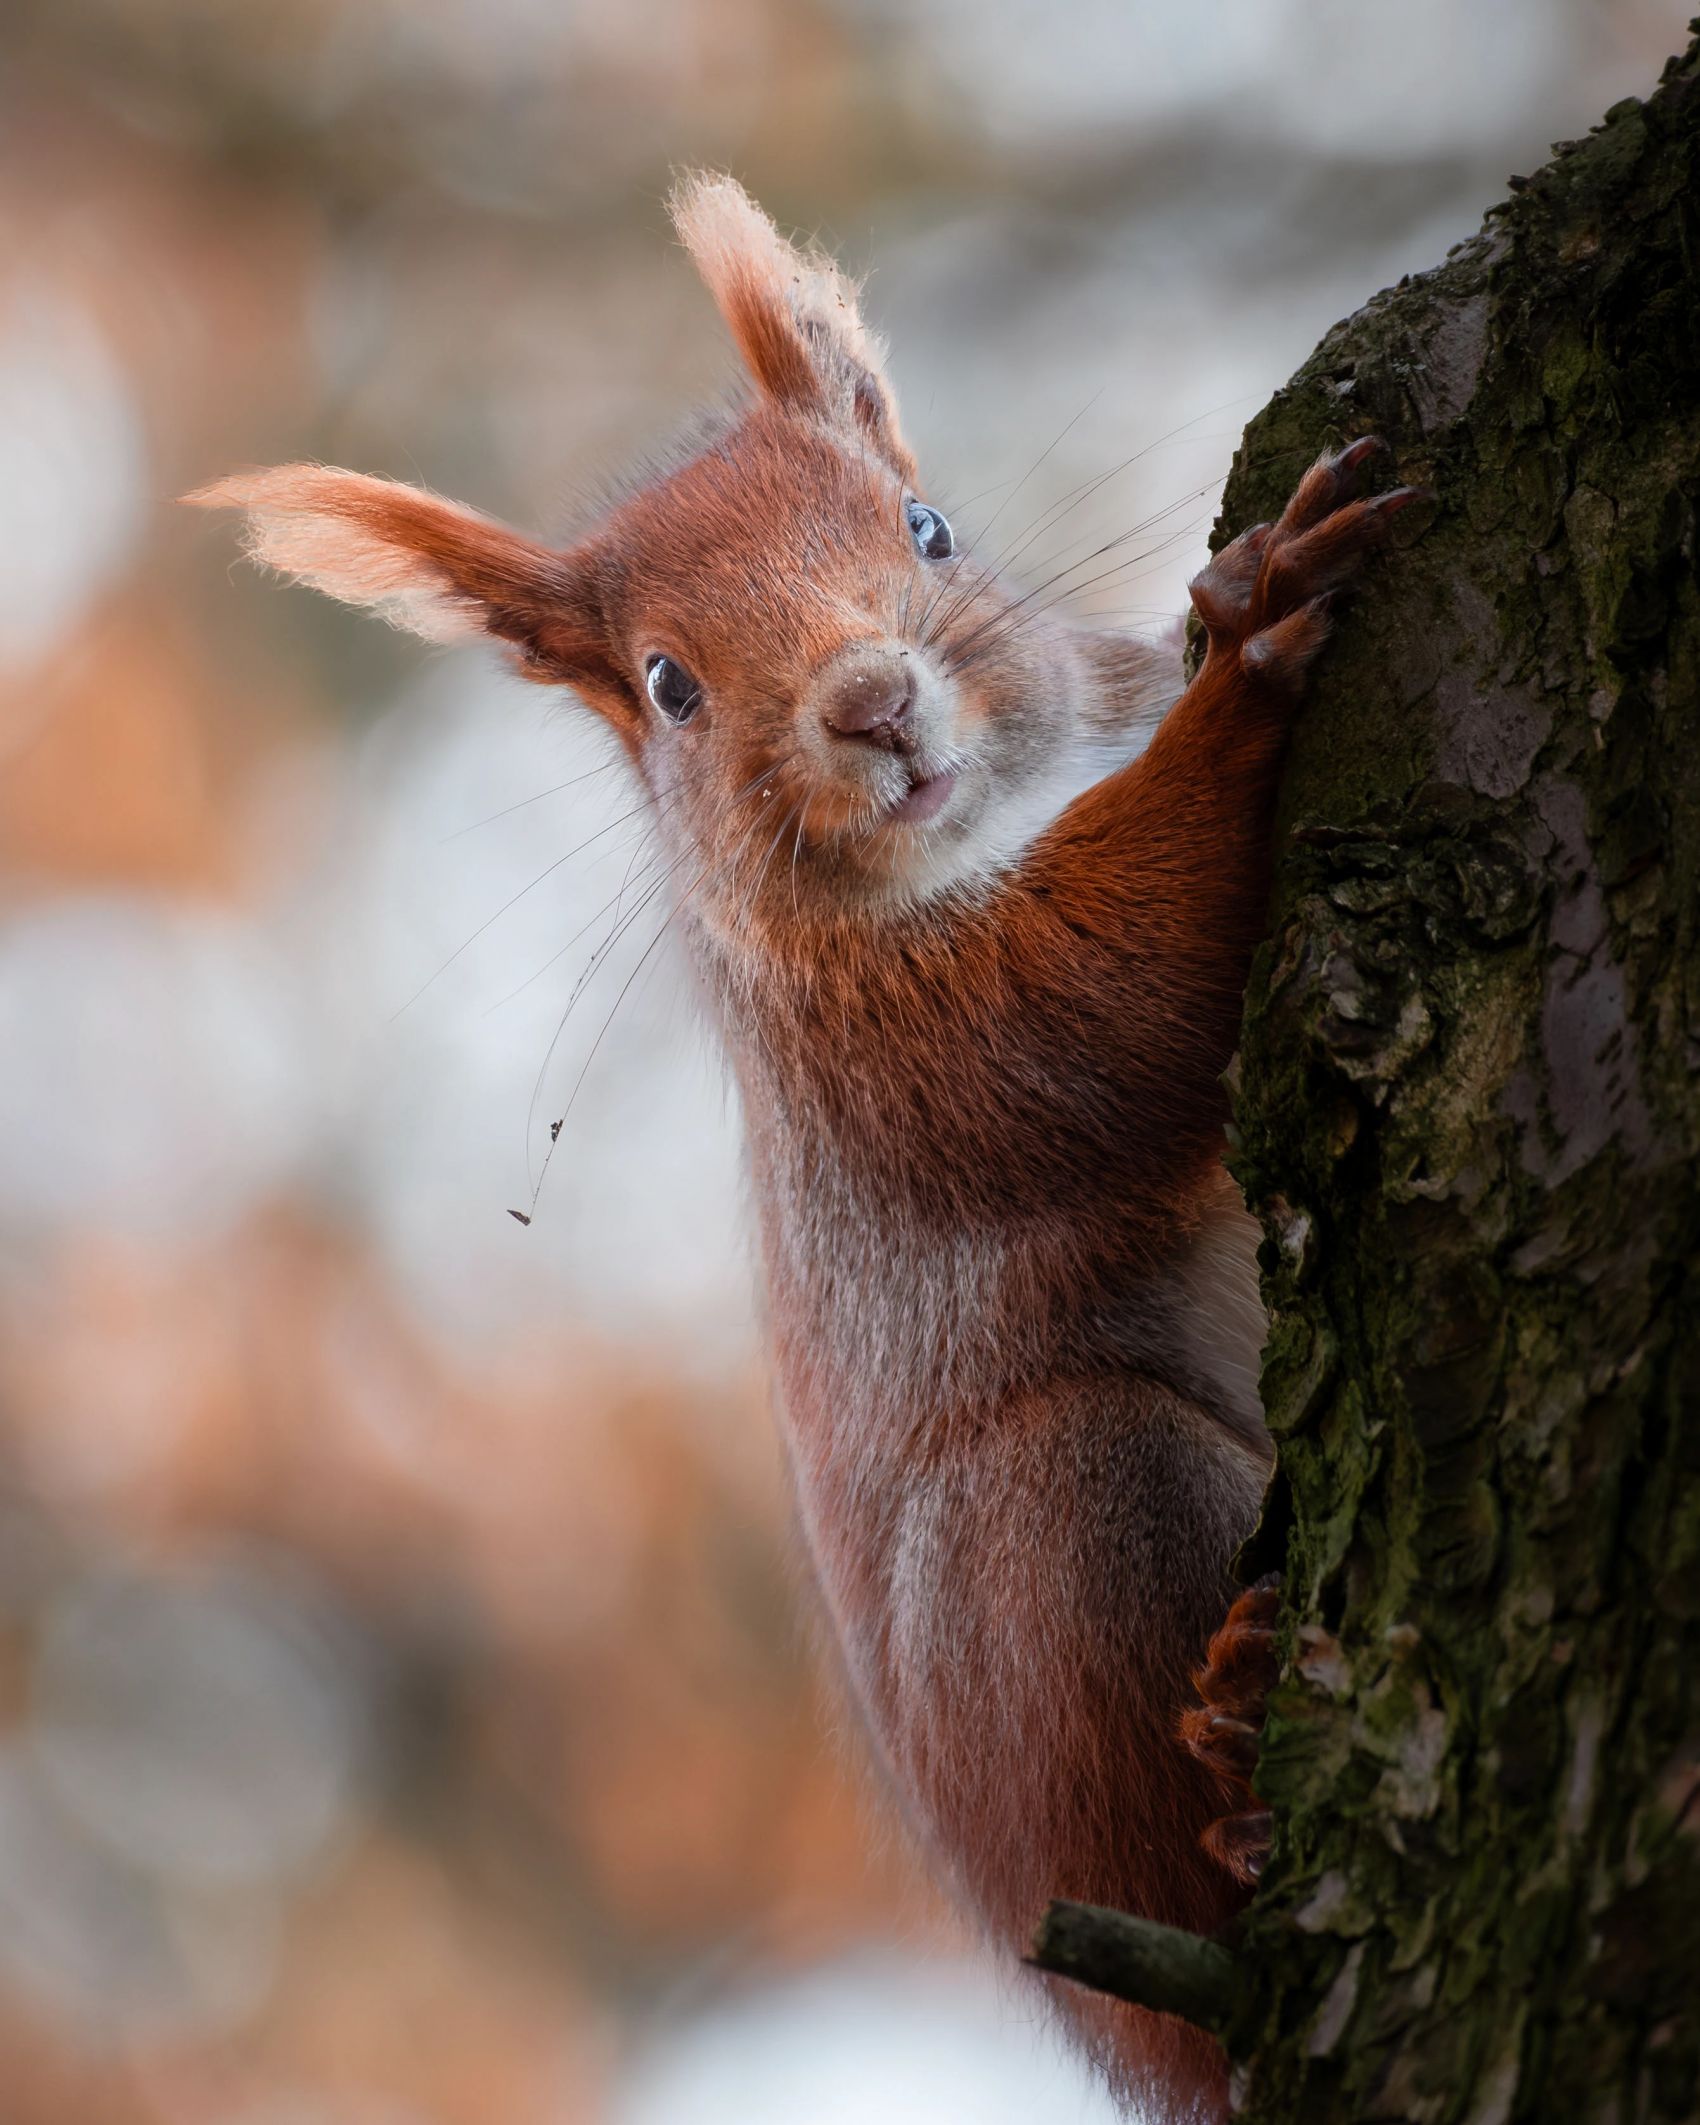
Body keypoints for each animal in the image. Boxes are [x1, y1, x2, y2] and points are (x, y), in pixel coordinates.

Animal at [190, 176, 1418, 2120]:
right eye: (669, 687)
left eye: (927, 525)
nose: (869, 705)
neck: (1001, 814)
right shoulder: (874, 1061)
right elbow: (1096, 1016)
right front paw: (1251, 657)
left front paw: (1221, 606)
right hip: (1058, 1526)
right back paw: (1229, 1734)